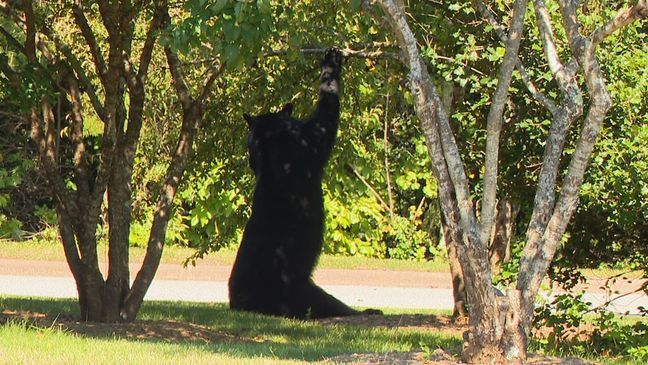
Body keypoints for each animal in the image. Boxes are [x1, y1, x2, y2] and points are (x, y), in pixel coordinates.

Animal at [229, 49, 378, 318]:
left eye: (248, 145)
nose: (248, 159)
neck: (270, 143)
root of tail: (240, 302)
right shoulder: (309, 143)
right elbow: (325, 117)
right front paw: (330, 64)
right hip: (298, 290)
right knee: (327, 304)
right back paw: (367, 311)